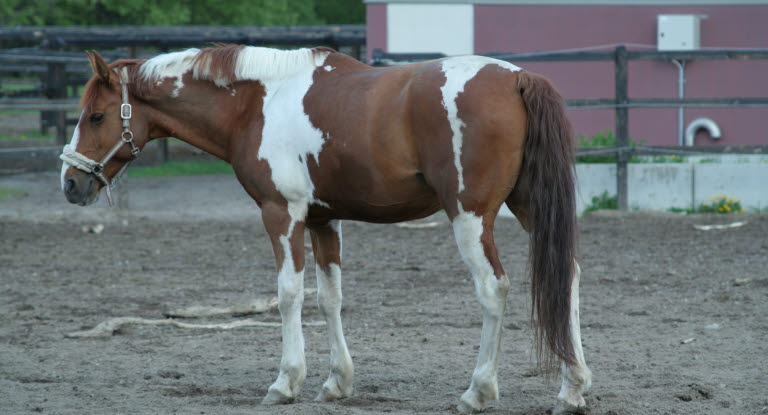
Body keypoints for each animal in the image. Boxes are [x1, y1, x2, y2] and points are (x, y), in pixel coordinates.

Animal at [60, 45, 592, 415]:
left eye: (97, 116)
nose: (69, 183)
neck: (256, 102)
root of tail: (518, 77)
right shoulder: (323, 219)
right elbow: (329, 299)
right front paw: (337, 382)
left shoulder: (282, 214)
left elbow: (288, 295)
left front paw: (286, 381)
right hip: (528, 207)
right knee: (566, 278)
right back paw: (572, 389)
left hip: (470, 216)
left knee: (493, 288)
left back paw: (478, 391)